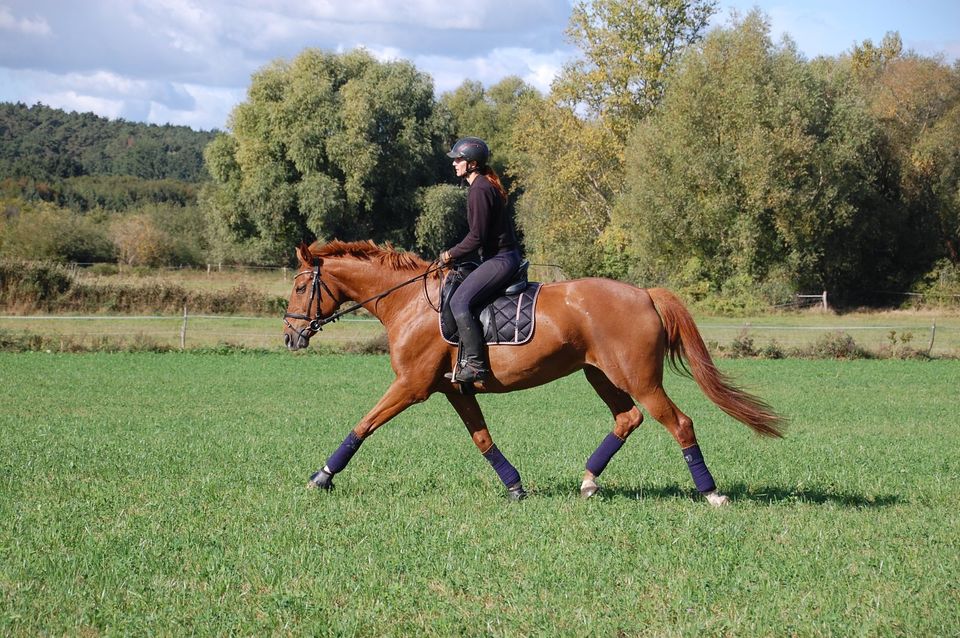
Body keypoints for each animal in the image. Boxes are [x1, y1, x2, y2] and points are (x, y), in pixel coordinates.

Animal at [282, 240, 784, 504]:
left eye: (302, 287)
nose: (290, 337)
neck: (408, 302)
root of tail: (644, 293)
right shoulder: (455, 391)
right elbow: (482, 439)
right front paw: (515, 486)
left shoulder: (411, 386)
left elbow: (363, 425)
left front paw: (322, 477)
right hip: (601, 375)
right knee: (628, 418)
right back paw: (589, 481)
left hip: (639, 379)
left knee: (679, 423)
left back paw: (712, 493)